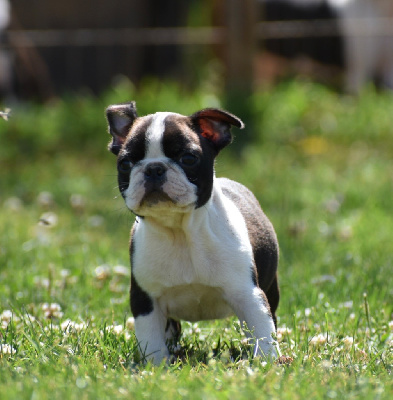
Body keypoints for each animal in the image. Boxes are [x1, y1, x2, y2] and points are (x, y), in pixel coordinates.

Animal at [105, 102, 280, 362]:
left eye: (188, 158)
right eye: (125, 164)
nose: (154, 168)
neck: (180, 233)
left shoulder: (249, 294)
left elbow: (263, 332)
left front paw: (269, 362)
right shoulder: (145, 300)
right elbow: (152, 340)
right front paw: (157, 366)